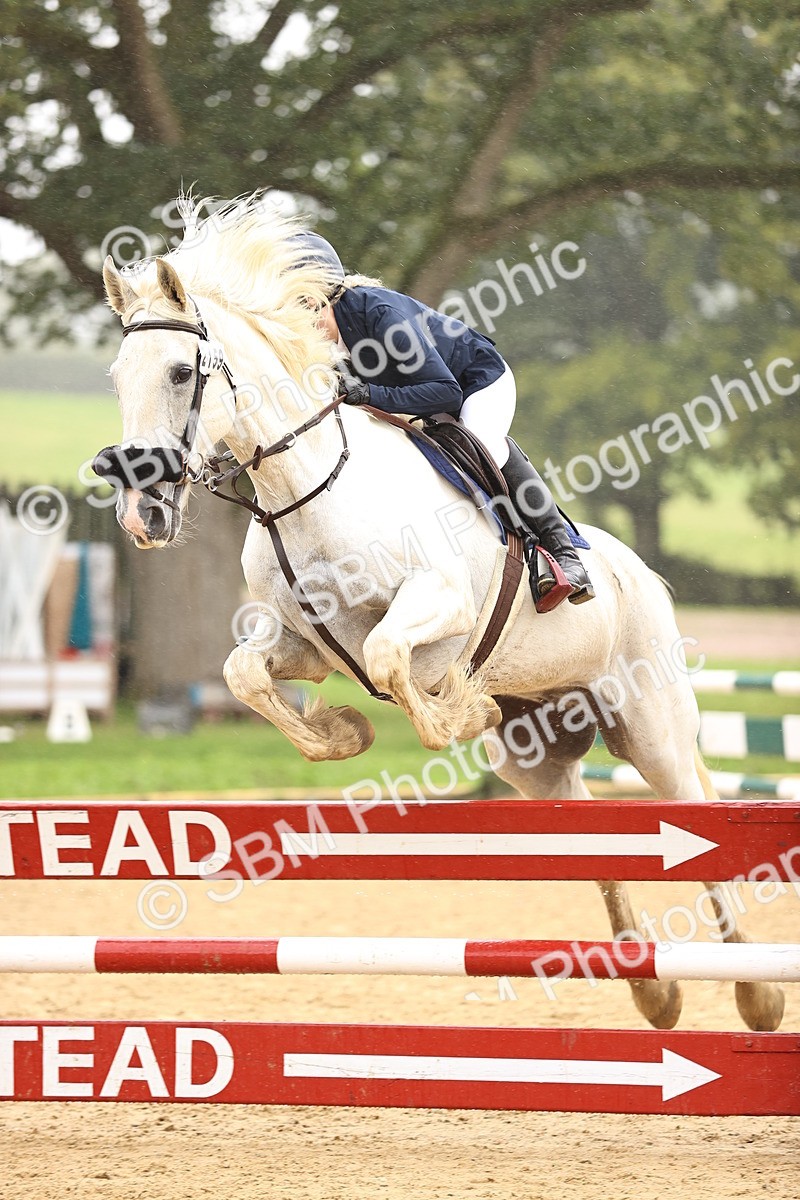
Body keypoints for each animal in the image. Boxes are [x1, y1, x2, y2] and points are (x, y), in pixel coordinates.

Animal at [95, 196, 784, 1034]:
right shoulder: (306, 642)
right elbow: (245, 674)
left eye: (179, 371)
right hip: (535, 755)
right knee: (589, 833)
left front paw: (456, 708)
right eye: (117, 377)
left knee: (694, 810)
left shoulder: (440, 604)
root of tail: (641, 573)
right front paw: (343, 732)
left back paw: (757, 993)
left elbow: (394, 658)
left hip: (650, 724)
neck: (306, 486)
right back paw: (653, 990)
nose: (143, 513)